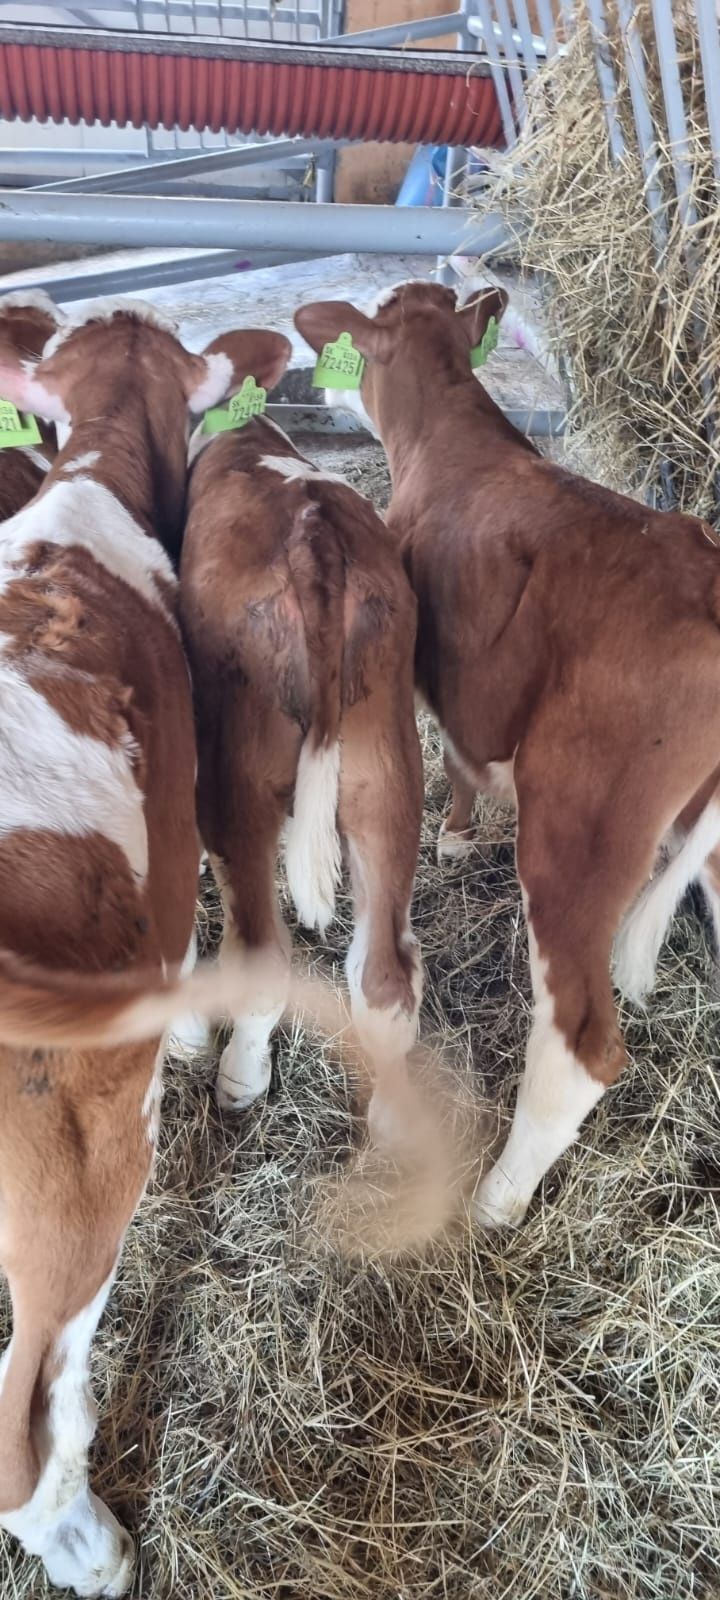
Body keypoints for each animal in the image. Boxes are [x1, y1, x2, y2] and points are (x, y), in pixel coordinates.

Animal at [180, 331, 425, 1139]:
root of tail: (313, 535)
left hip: (238, 780)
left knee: (263, 957)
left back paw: (239, 1080)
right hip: (386, 771)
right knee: (384, 978)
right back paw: (394, 1124)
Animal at [296, 281, 720, 1222]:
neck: (455, 434)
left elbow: (453, 755)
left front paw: (450, 841)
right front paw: (458, 834)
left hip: (578, 838)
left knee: (580, 1046)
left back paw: (496, 1200)